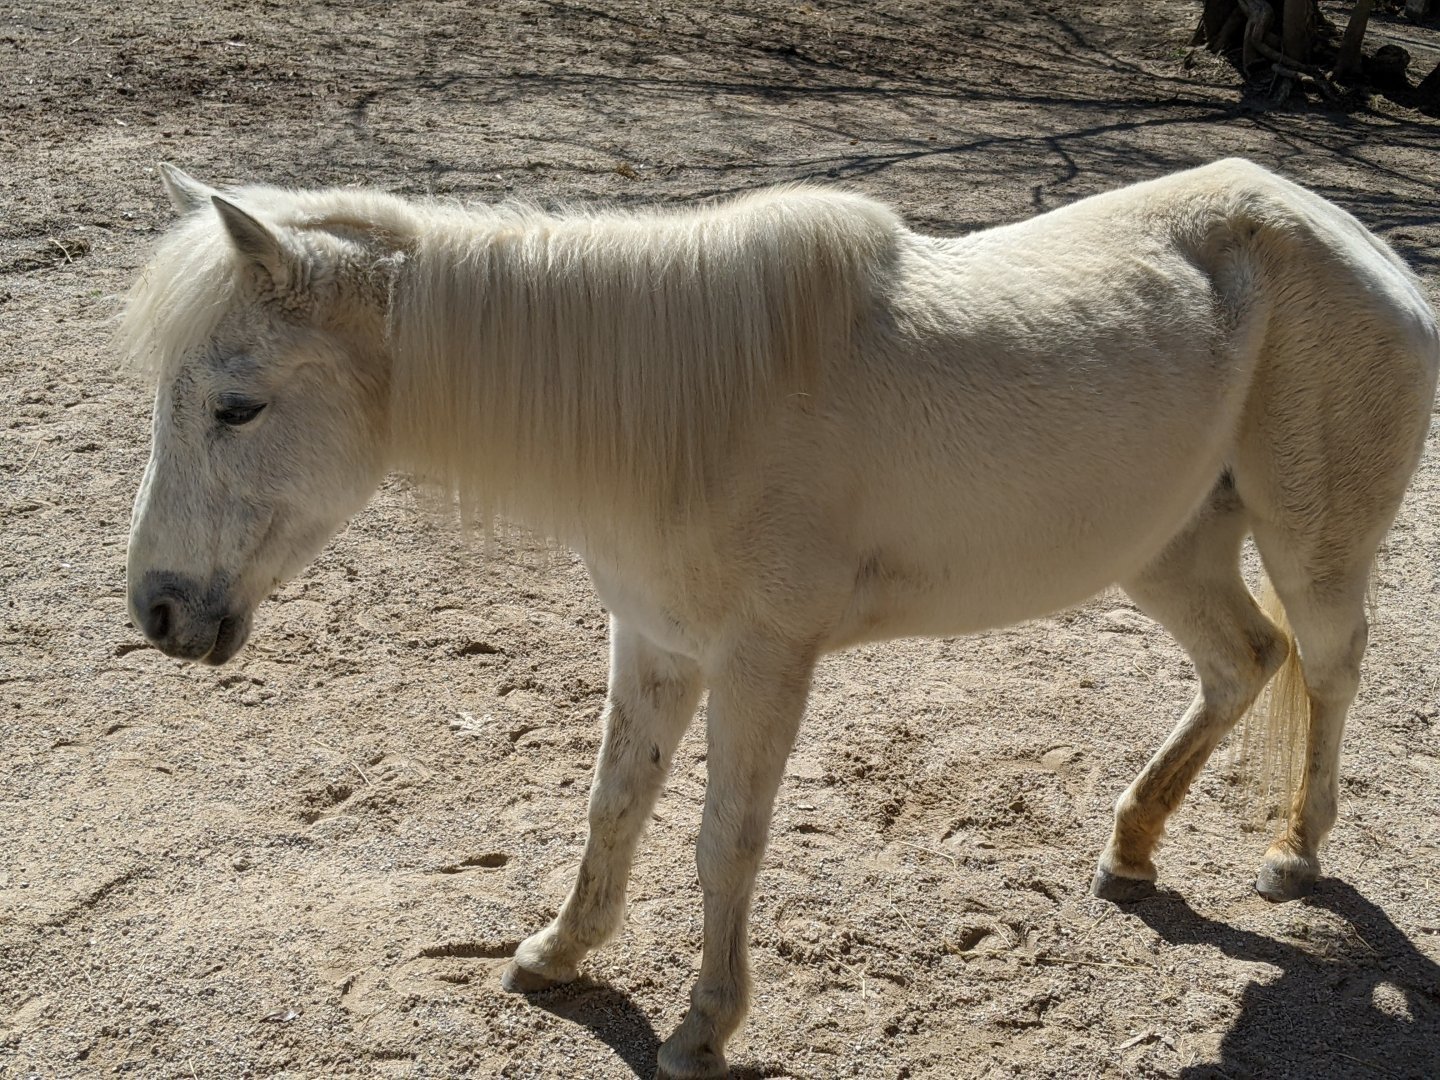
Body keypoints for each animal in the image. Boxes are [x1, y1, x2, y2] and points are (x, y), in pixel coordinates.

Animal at [120, 159, 1438, 1079]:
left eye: (237, 404)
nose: (160, 610)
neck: (687, 411)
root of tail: (1363, 242)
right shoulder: (654, 641)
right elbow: (615, 803)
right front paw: (556, 954)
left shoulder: (764, 662)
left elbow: (724, 842)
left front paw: (702, 1030)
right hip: (1166, 551)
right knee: (1243, 663)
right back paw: (1128, 849)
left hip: (1309, 548)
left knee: (1328, 665)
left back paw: (1294, 854)